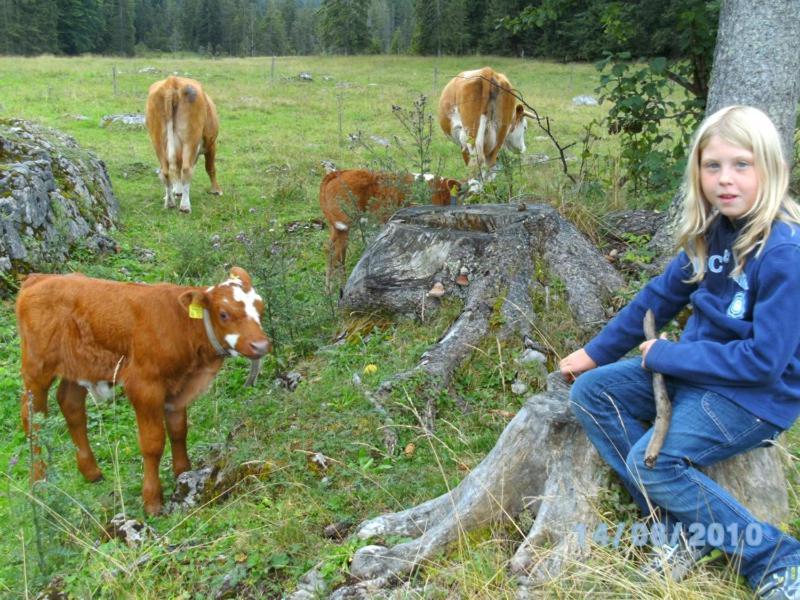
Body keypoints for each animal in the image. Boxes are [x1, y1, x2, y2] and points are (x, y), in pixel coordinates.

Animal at [15, 268, 270, 516]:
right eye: (224, 313)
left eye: (260, 307)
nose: (261, 345)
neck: (182, 326)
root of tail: (39, 278)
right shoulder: (145, 387)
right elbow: (153, 443)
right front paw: (152, 501)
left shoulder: (179, 388)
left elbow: (178, 430)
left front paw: (182, 473)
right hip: (37, 366)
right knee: (33, 419)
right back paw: (38, 484)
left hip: (79, 365)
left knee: (71, 407)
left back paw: (91, 472)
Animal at [145, 76, 222, 213]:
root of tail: (172, 81)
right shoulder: (211, 144)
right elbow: (210, 168)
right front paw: (216, 191)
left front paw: (176, 192)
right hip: (190, 138)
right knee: (186, 169)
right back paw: (185, 206)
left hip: (157, 139)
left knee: (166, 171)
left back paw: (170, 202)